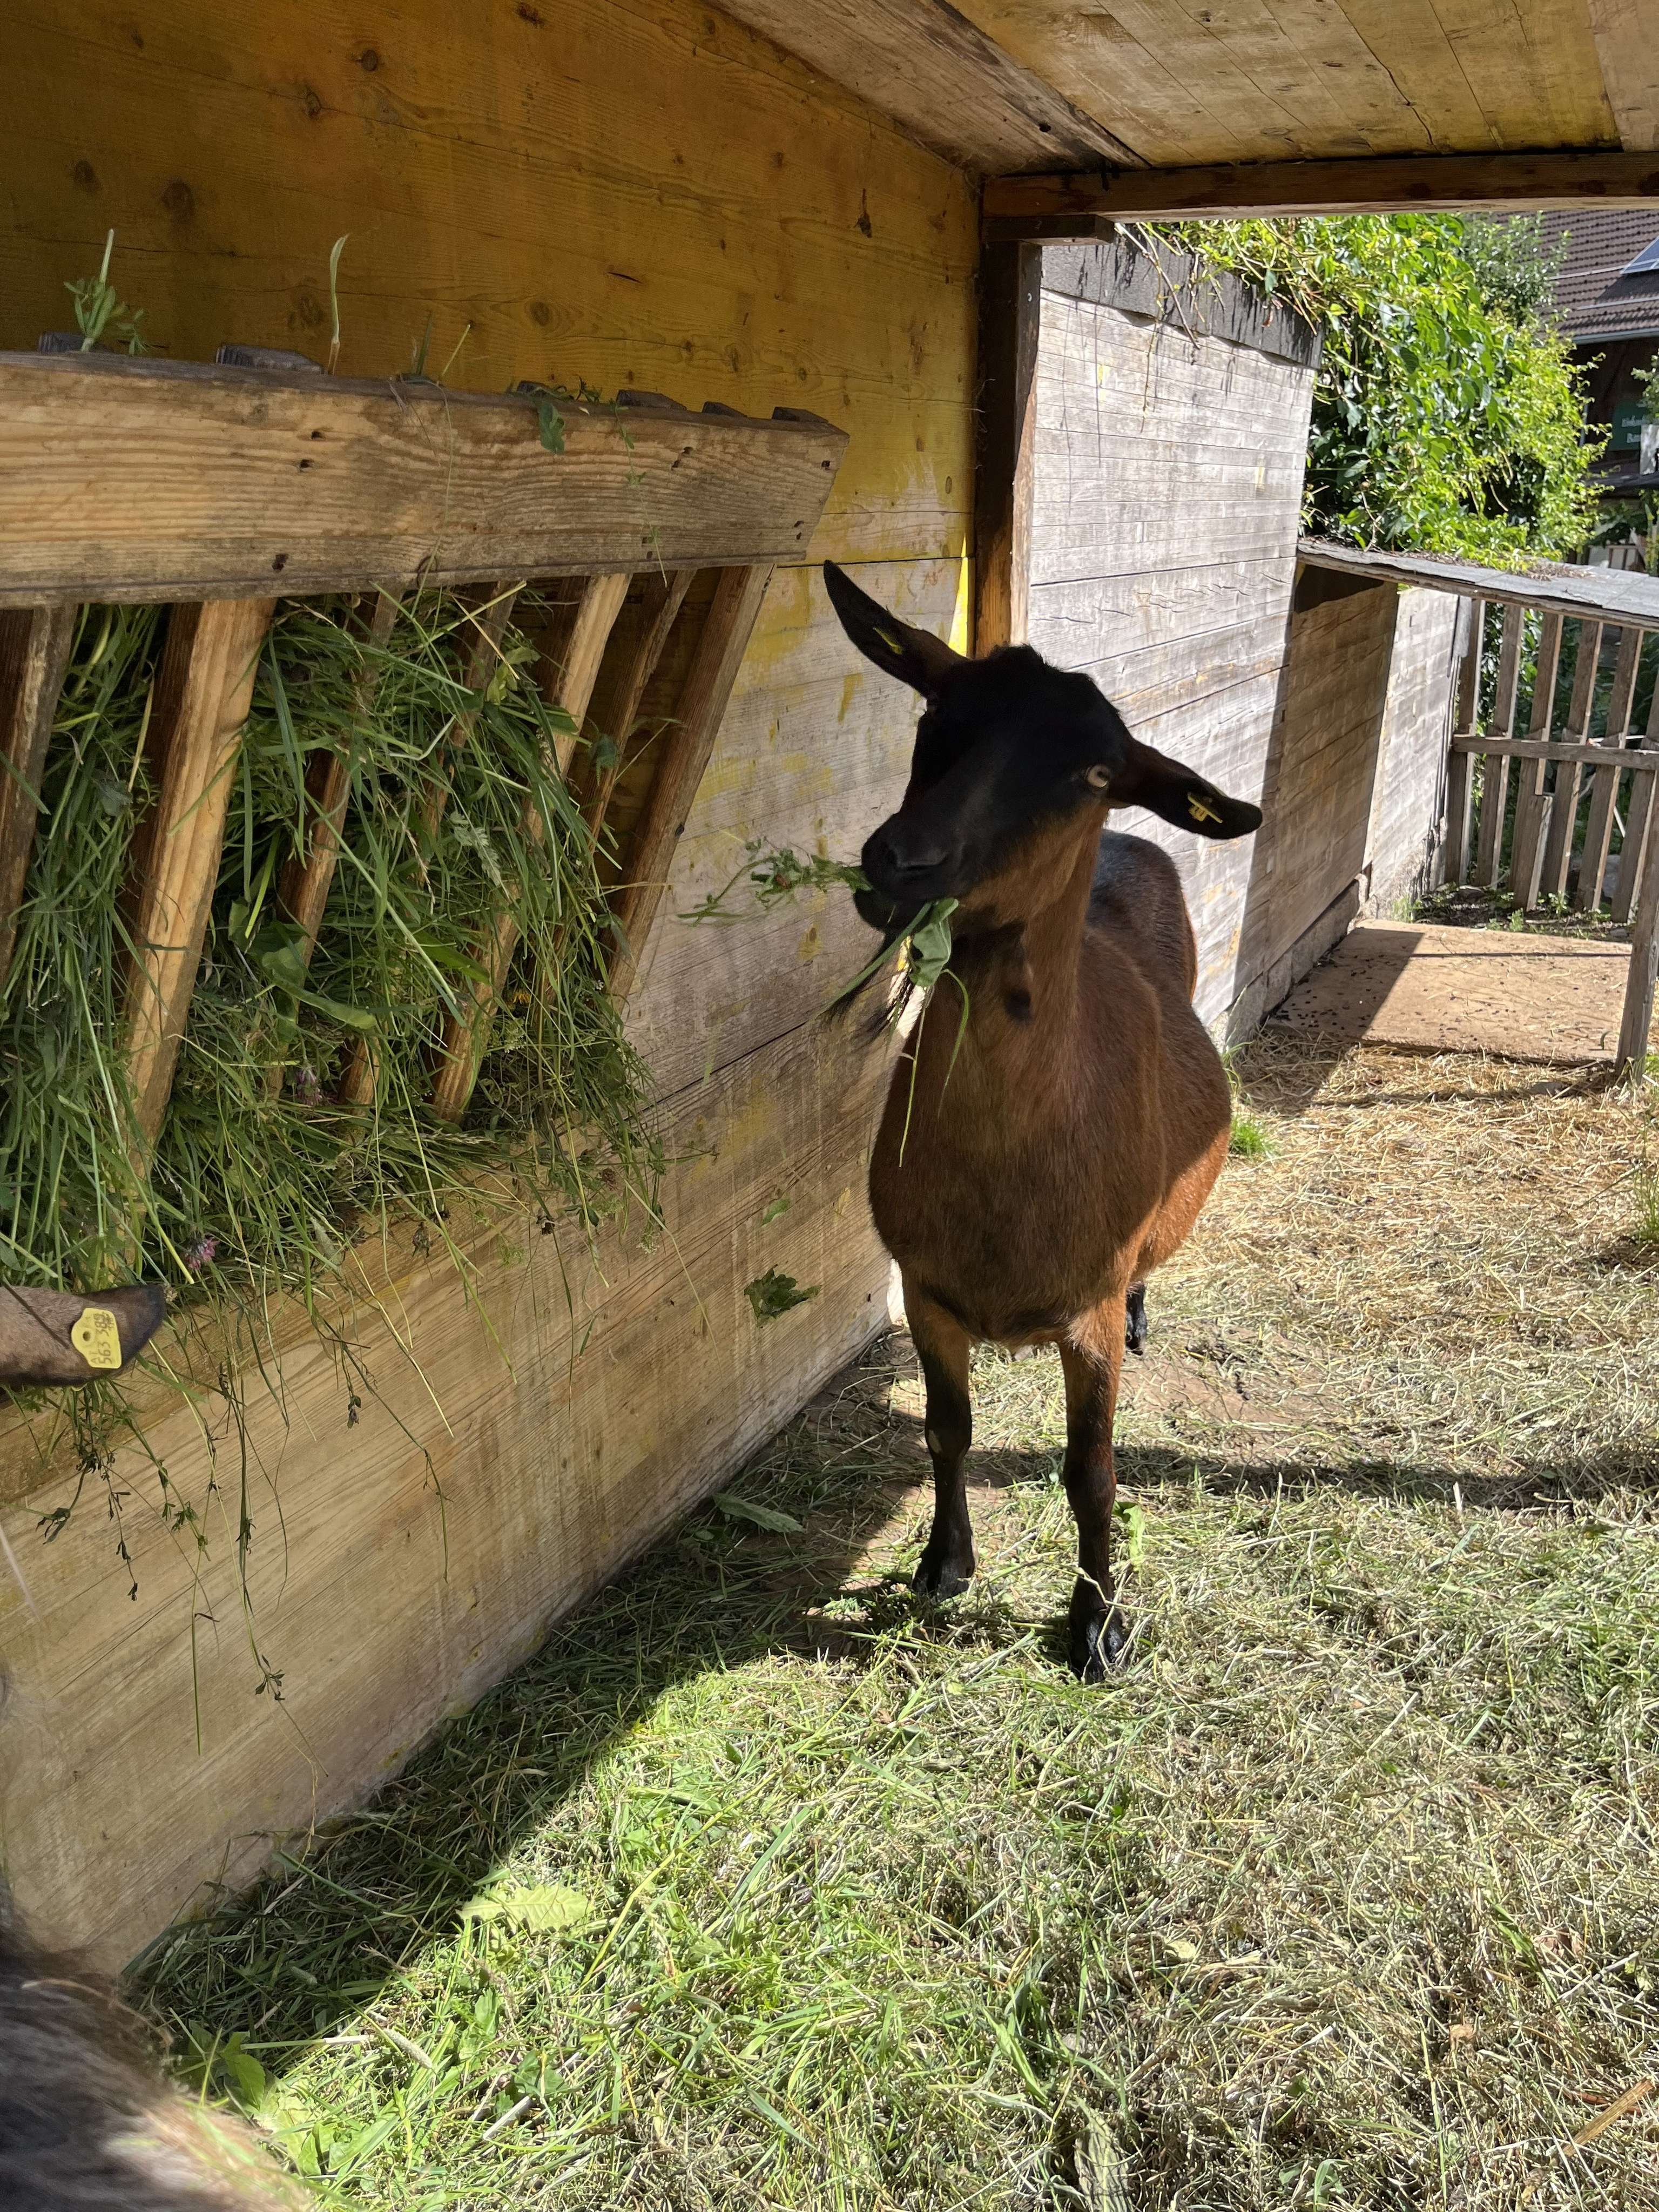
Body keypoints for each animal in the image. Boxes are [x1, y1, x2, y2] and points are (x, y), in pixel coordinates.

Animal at [823, 563, 1262, 1679]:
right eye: (935, 710)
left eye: (1094, 771)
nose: (902, 862)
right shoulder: (926, 1289)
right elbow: (948, 1431)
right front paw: (943, 1567)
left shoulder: (1086, 1312)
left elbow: (1090, 1473)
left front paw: (1097, 1627)